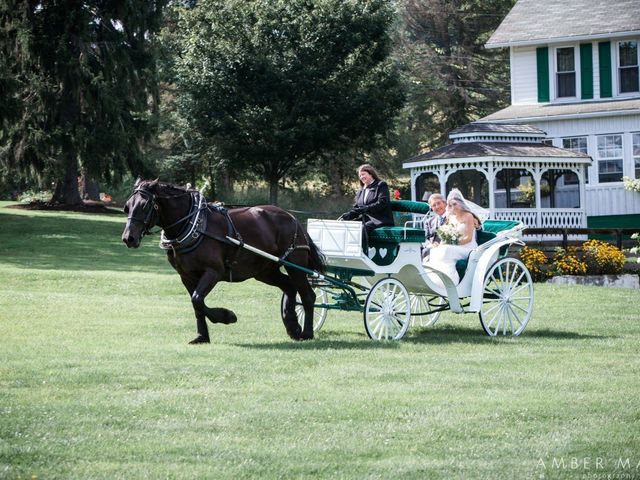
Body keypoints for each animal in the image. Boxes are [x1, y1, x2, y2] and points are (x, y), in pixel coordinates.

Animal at [122, 178, 324, 344]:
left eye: (145, 205)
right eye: (127, 206)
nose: (128, 238)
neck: (195, 225)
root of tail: (293, 218)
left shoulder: (213, 271)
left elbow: (197, 299)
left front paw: (227, 316)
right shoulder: (186, 277)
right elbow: (197, 305)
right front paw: (202, 336)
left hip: (296, 265)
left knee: (307, 296)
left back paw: (306, 332)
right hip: (265, 271)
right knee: (289, 287)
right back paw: (292, 326)